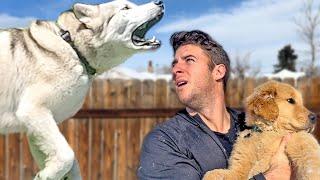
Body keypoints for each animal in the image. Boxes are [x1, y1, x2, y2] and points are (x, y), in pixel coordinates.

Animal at [0, 0, 164, 179]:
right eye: (125, 8)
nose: (160, 2)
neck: (73, 47)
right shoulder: (33, 110)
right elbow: (67, 155)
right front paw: (45, 176)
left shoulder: (38, 125)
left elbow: (71, 163)